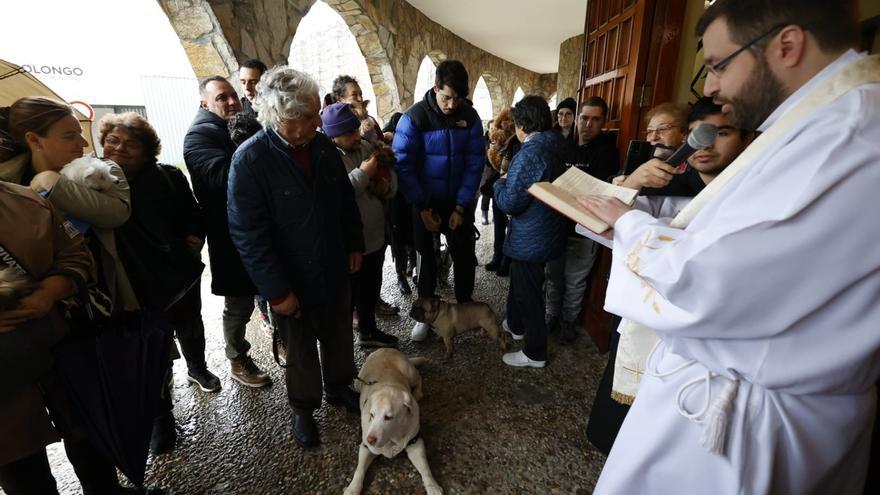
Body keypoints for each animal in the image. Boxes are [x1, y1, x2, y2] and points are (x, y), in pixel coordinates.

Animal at [344, 348, 440, 495]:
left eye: (388, 417)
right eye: (372, 415)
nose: (370, 439)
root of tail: (386, 349)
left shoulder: (415, 443)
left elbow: (425, 468)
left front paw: (432, 486)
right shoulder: (366, 448)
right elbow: (359, 469)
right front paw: (352, 488)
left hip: (409, 372)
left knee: (418, 377)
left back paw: (417, 392)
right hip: (358, 382)